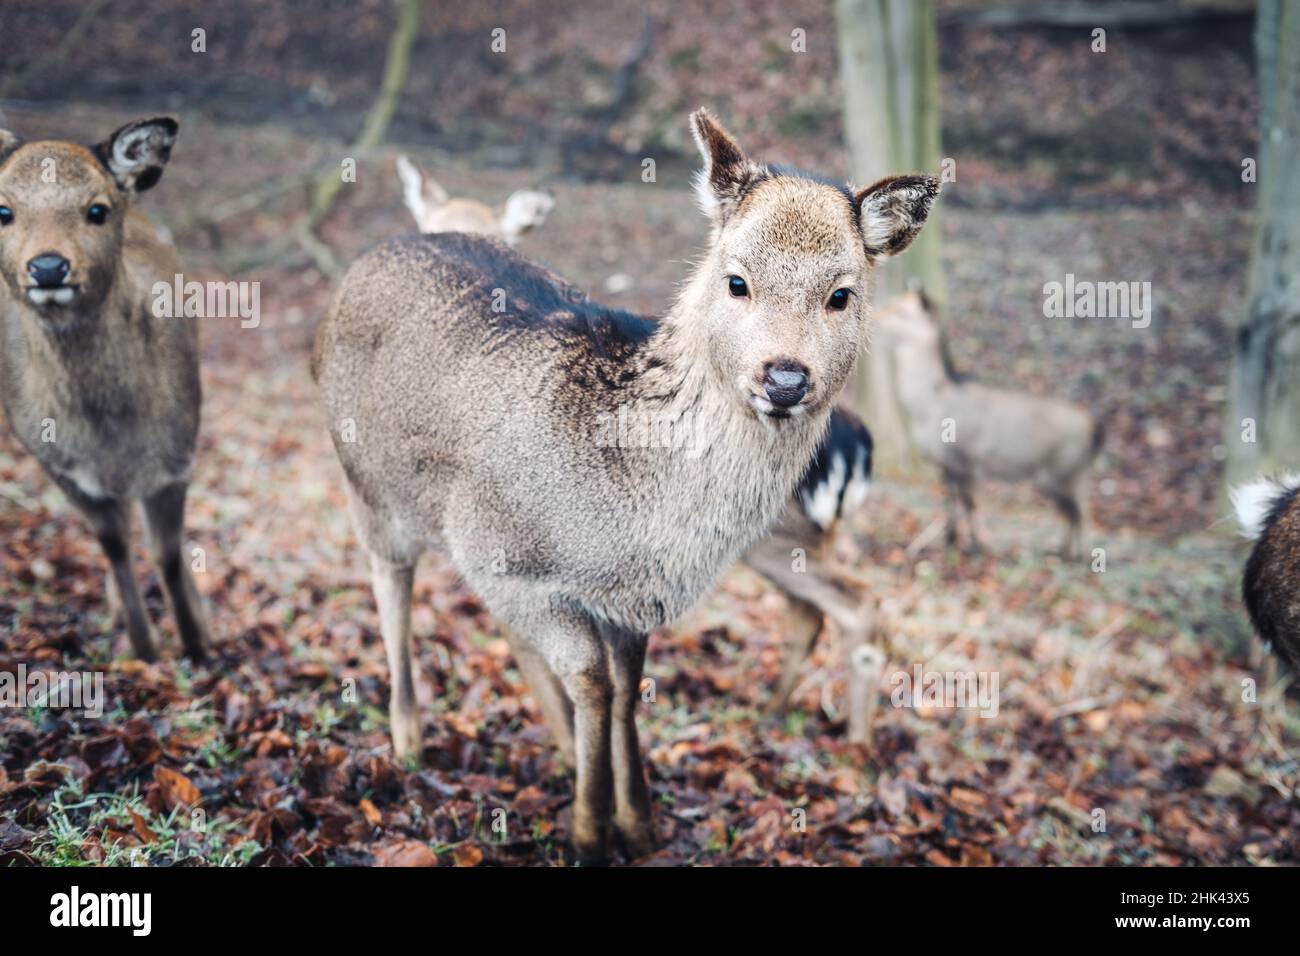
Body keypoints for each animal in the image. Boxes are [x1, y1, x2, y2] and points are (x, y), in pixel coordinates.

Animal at [0, 117, 210, 658]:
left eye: (97, 209)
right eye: (4, 209)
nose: (47, 267)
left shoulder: (176, 460)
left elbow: (167, 552)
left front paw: (199, 645)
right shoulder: (62, 469)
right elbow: (114, 546)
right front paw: (144, 647)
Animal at [878, 293, 1102, 561]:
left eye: (901, 312)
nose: (875, 318)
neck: (929, 408)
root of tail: (1095, 428)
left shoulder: (968, 460)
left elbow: (969, 502)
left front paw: (976, 546)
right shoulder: (946, 464)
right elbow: (949, 500)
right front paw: (950, 540)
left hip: (1069, 473)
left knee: (1083, 511)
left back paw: (1083, 555)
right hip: (1061, 478)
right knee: (1070, 511)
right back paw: (1063, 551)